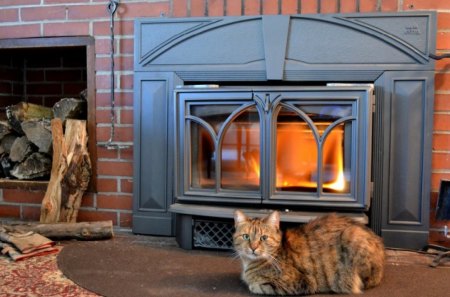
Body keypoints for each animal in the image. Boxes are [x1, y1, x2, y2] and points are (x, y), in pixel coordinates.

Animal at [234, 209, 384, 294]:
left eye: (263, 238)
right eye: (246, 236)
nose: (253, 247)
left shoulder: (303, 282)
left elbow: (260, 286)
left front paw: (253, 285)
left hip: (352, 234)